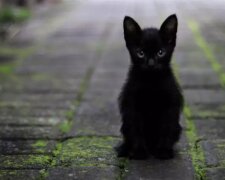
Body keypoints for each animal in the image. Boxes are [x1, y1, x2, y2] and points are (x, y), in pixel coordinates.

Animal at [117, 14, 184, 160]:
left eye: (160, 52)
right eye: (141, 53)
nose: (151, 64)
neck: (151, 82)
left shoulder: (170, 105)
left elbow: (166, 128)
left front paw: (163, 151)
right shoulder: (132, 106)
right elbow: (136, 129)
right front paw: (139, 152)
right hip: (125, 125)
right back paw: (126, 149)